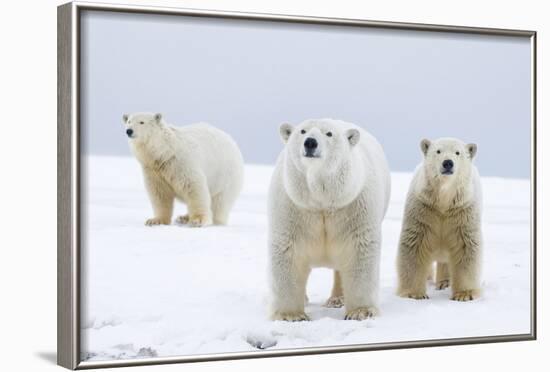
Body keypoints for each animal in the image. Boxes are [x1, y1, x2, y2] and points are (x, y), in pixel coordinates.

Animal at [268, 118, 392, 320]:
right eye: (302, 131)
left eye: (329, 134)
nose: (310, 143)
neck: (322, 202)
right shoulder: (293, 206)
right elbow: (289, 250)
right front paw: (291, 315)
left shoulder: (353, 205)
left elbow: (358, 249)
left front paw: (361, 311)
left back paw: (337, 299)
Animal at [396, 138, 484, 300]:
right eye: (438, 151)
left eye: (457, 152)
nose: (448, 163)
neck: (444, 202)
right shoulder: (423, 210)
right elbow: (415, 246)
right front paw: (414, 294)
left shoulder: (462, 212)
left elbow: (465, 247)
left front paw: (464, 295)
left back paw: (444, 283)